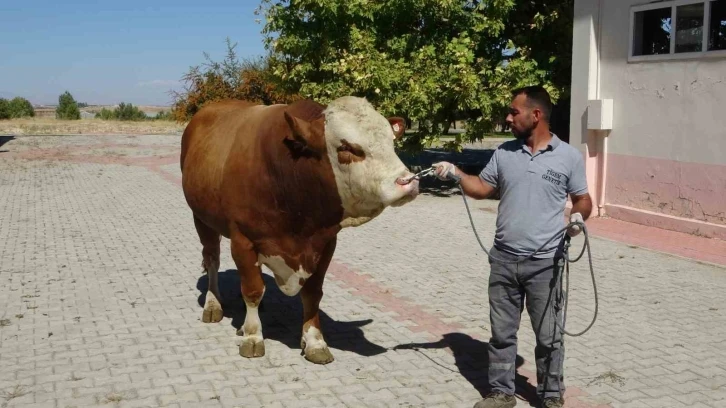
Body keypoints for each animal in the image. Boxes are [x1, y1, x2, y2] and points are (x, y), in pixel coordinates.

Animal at [180, 95, 420, 364]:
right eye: (346, 148)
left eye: (391, 141)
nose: (407, 181)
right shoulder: (243, 240)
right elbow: (252, 290)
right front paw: (252, 336)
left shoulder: (325, 243)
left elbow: (312, 293)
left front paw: (315, 341)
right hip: (201, 219)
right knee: (212, 258)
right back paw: (213, 304)